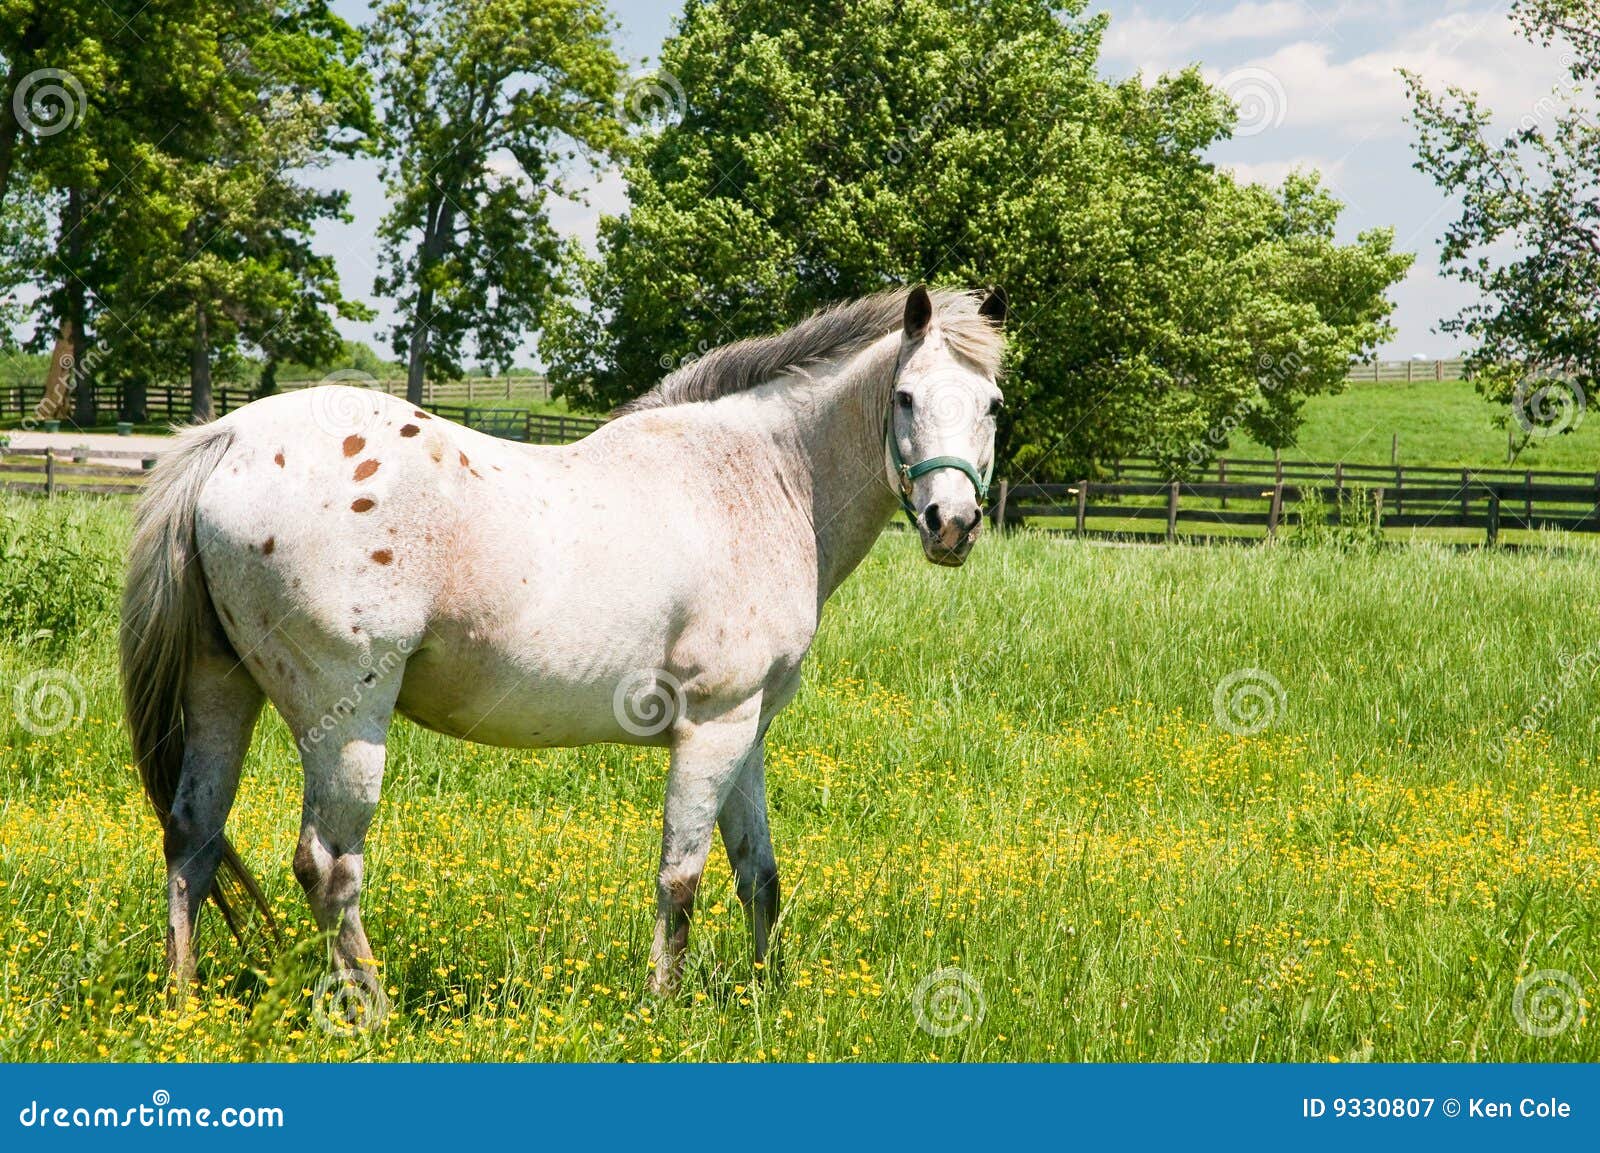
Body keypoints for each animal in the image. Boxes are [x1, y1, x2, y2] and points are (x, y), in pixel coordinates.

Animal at [124, 283, 1004, 991]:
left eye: (993, 404)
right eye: (906, 398)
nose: (952, 524)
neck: (761, 476)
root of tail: (229, 442)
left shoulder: (747, 729)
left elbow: (759, 873)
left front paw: (765, 997)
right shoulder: (713, 724)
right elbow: (681, 876)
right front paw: (662, 1004)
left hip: (221, 687)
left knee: (193, 837)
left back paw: (185, 1001)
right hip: (345, 720)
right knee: (328, 865)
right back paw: (370, 1009)